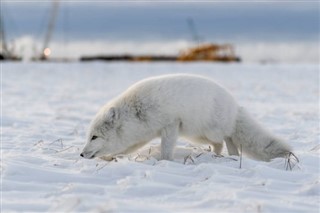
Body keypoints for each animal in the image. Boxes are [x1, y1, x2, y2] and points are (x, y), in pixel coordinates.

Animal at [80, 73, 292, 161]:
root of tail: (235, 106)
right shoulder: (140, 136)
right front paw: (111, 158)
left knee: (227, 139)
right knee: (222, 143)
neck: (135, 112)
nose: (81, 154)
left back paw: (229, 156)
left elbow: (166, 150)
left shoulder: (171, 125)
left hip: (209, 131)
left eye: (94, 137)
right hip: (197, 135)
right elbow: (124, 149)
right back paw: (222, 156)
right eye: (89, 136)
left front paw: (164, 161)